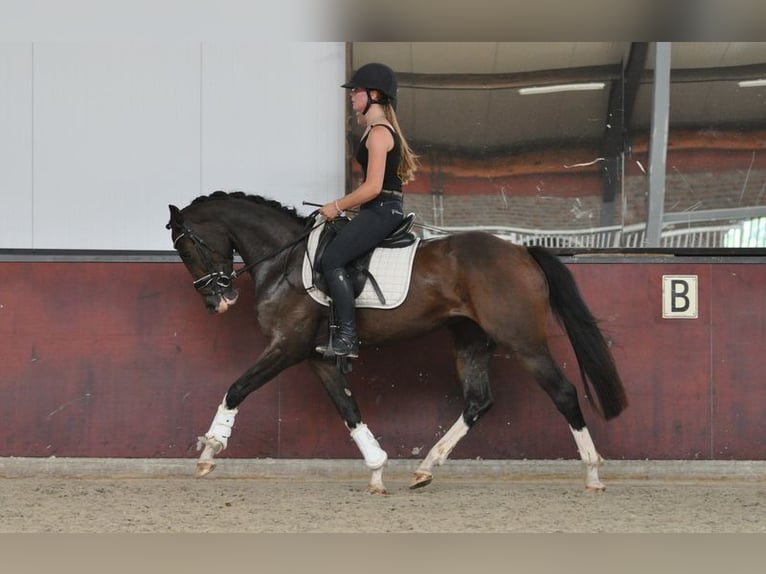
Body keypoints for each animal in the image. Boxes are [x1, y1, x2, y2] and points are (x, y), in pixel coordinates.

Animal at [168, 192, 632, 496]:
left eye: (186, 249)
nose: (216, 301)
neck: (285, 259)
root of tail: (521, 253)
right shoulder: (318, 358)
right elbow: (349, 410)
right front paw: (376, 470)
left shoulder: (287, 346)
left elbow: (236, 388)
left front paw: (209, 451)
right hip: (470, 341)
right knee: (478, 401)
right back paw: (425, 468)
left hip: (524, 342)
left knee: (564, 393)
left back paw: (593, 474)